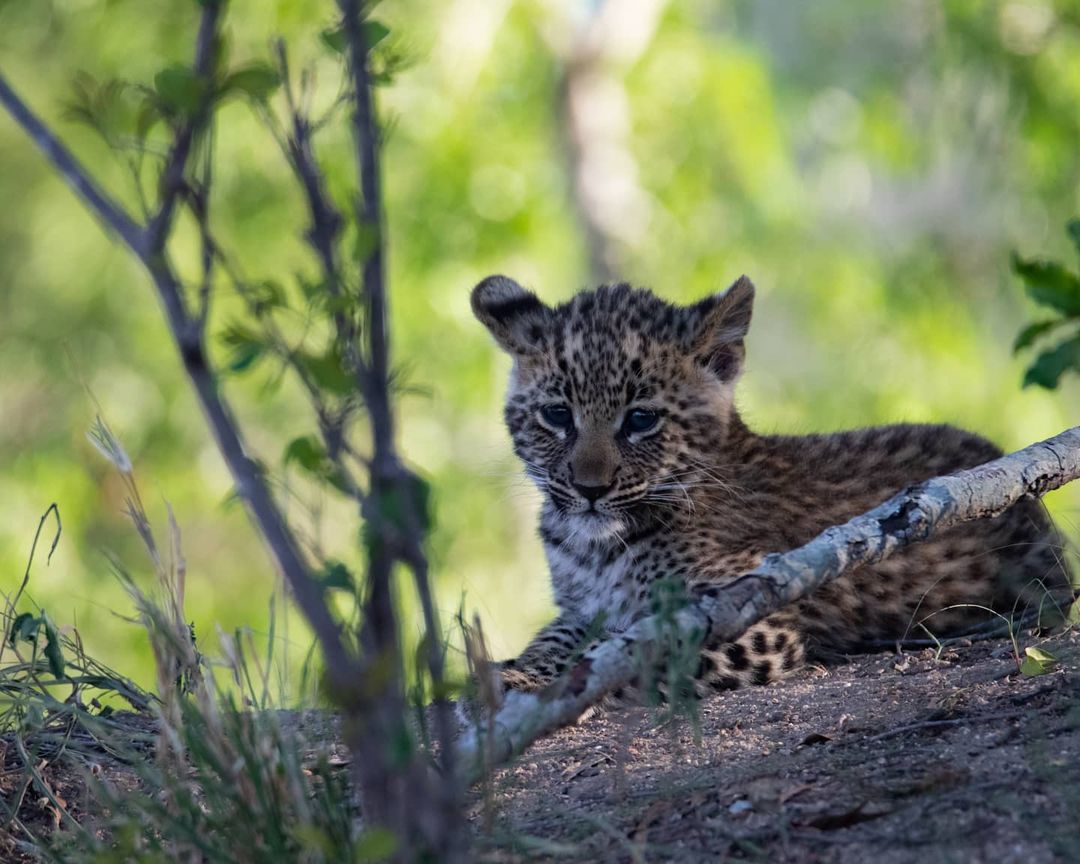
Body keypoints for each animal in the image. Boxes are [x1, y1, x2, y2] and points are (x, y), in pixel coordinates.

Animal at [471, 273, 1075, 702]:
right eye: (557, 415)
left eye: (640, 420)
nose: (589, 488)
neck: (591, 546)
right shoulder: (581, 608)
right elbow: (559, 639)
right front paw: (514, 670)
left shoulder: (747, 620)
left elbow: (609, 656)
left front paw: (532, 686)